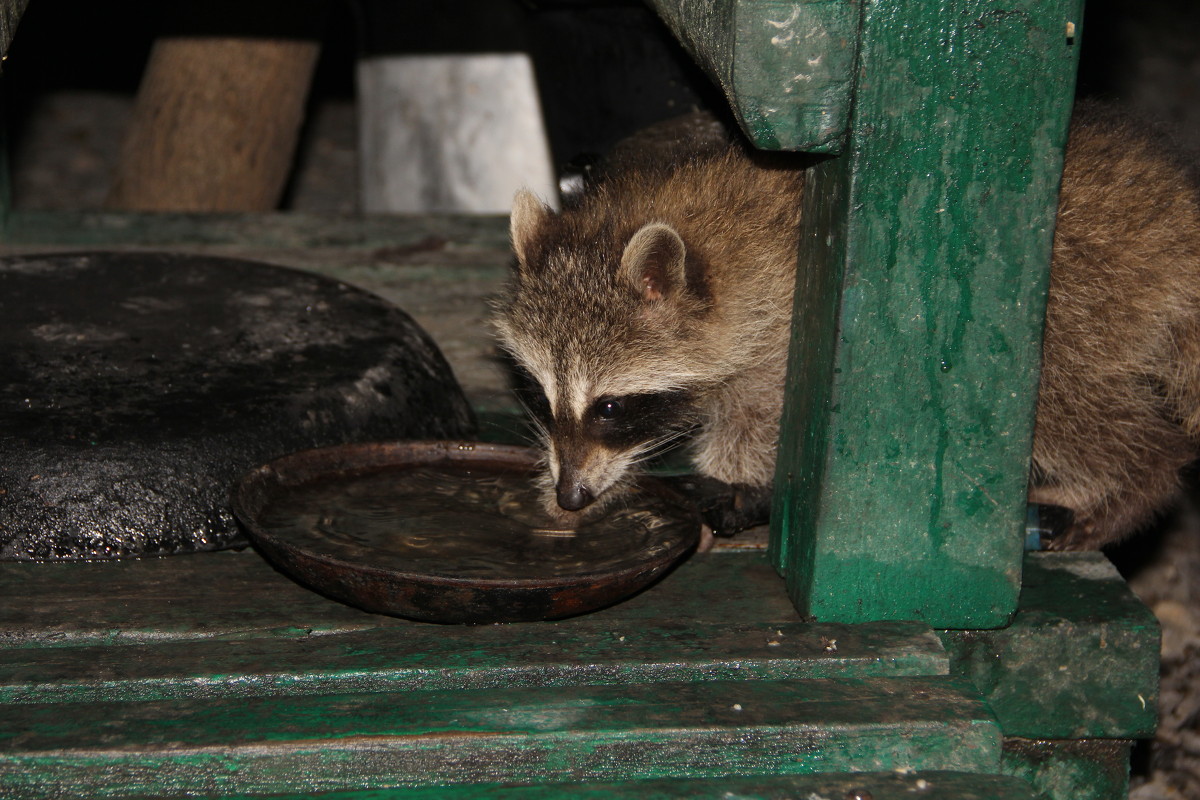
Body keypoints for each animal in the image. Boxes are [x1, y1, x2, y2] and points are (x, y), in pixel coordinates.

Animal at [492, 101, 1200, 551]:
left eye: (610, 407)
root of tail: (1178, 220)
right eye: (540, 396)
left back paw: (1133, 485)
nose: (571, 496)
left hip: (1070, 304)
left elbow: (759, 419)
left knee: (1068, 407)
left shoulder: (782, 337)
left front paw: (734, 480)